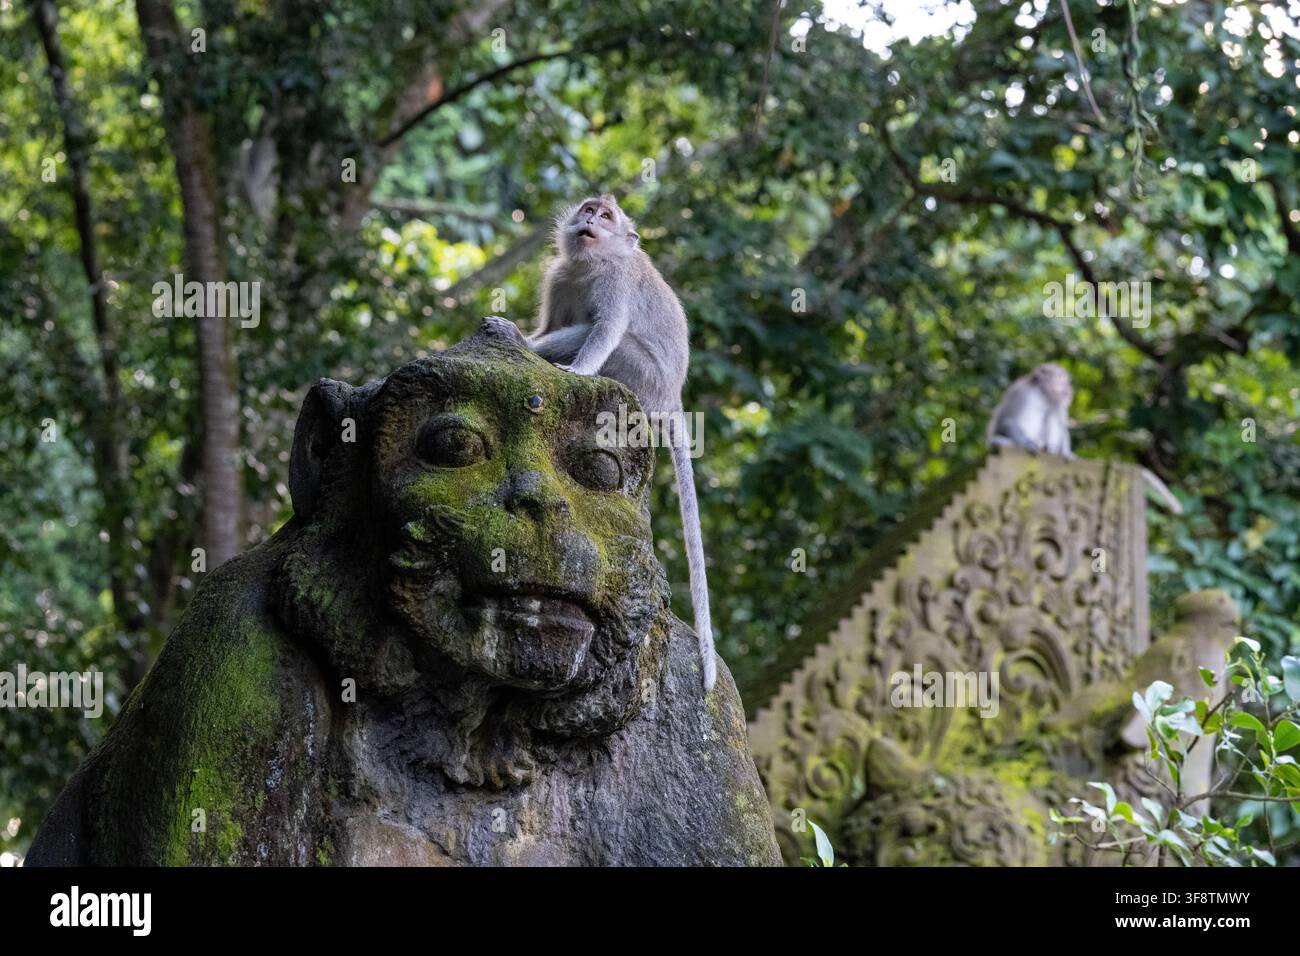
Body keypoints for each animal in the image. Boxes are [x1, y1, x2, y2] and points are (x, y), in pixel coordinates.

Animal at [529, 194, 717, 691]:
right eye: (589, 209)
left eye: (607, 216)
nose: (592, 218)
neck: (591, 265)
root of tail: (671, 398)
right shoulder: (559, 276)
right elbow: (551, 321)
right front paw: (525, 336)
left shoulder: (616, 282)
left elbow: (607, 329)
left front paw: (576, 369)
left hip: (641, 375)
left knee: (608, 337)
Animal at [987, 362, 1183, 514]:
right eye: (1059, 378)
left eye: (1065, 379)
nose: (1067, 387)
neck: (1043, 394)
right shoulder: (1022, 393)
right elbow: (1007, 420)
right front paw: (1026, 443)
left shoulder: (1058, 402)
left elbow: (1061, 424)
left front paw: (1067, 452)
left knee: (1052, 417)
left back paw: (1051, 450)